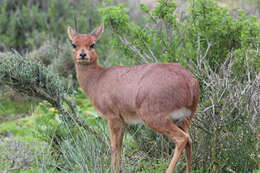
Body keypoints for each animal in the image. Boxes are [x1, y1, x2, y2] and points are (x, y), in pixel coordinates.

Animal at [67, 23, 201, 172]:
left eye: (93, 44)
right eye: (73, 44)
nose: (82, 54)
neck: (97, 79)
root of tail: (191, 83)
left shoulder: (112, 117)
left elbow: (114, 147)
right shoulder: (123, 121)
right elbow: (120, 146)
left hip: (154, 117)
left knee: (182, 139)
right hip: (184, 119)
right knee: (189, 141)